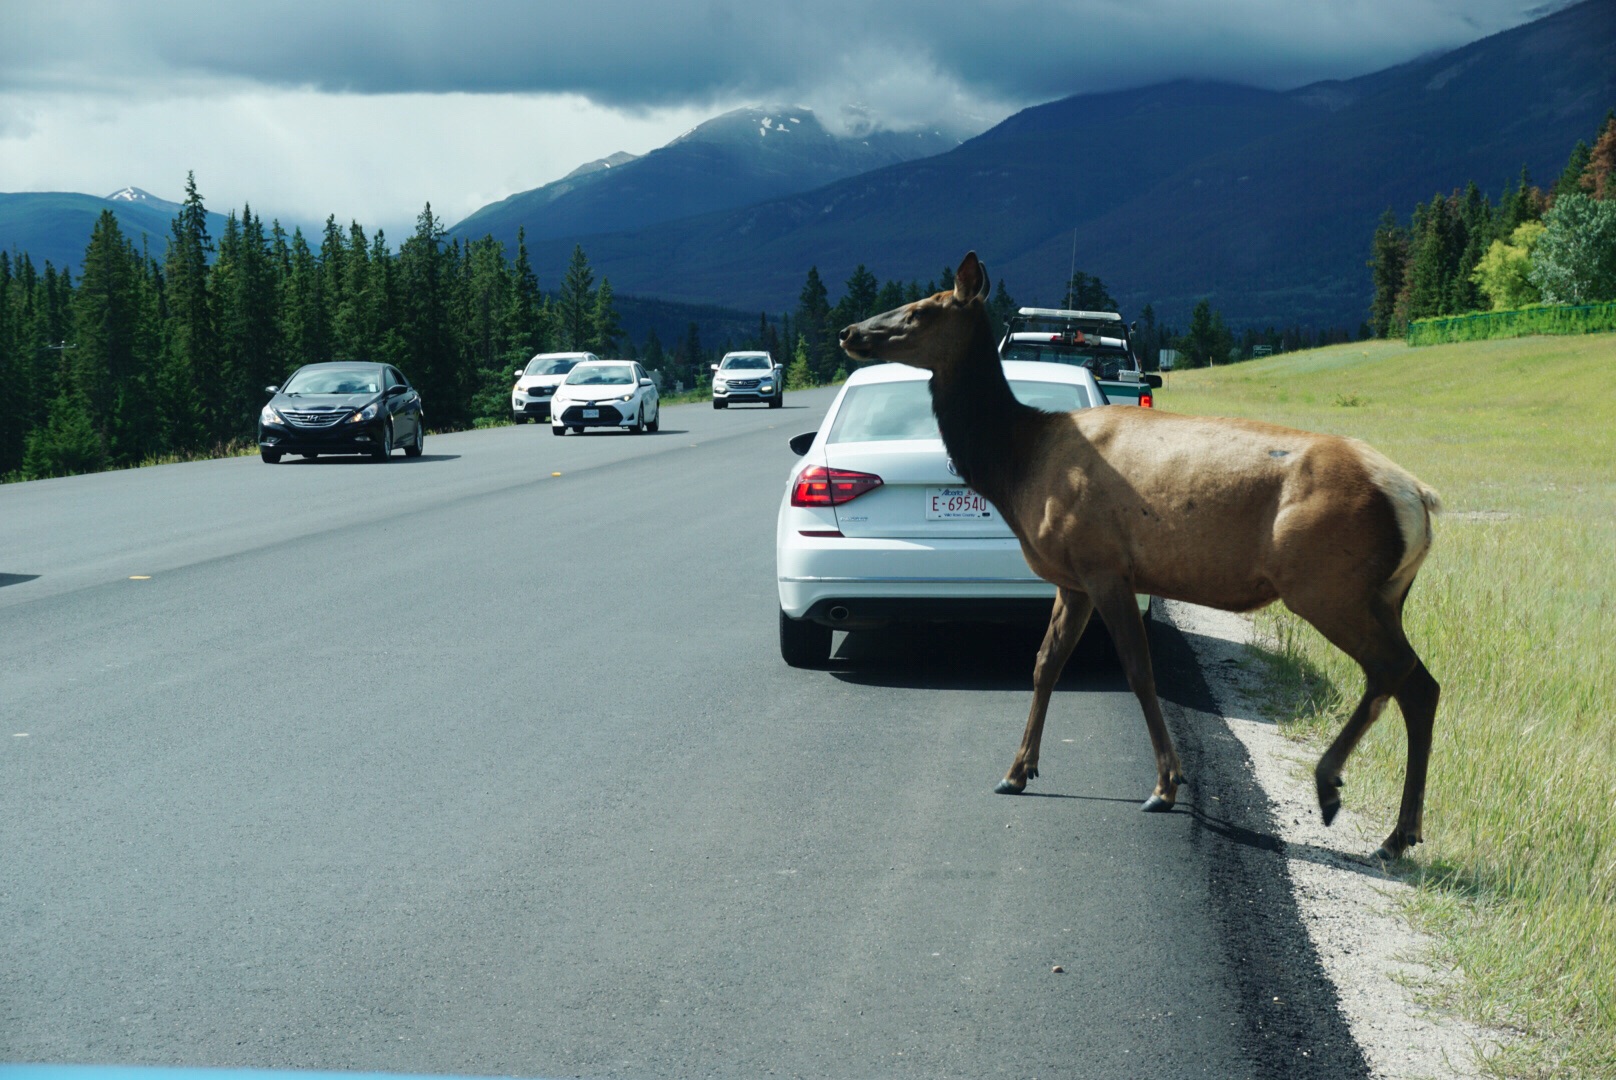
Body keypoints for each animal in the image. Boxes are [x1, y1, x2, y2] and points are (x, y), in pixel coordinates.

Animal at [840, 248, 1447, 853]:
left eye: (922, 310)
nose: (850, 332)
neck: (1018, 466)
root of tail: (1418, 498)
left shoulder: (1104, 563)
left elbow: (1138, 670)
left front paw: (1165, 785)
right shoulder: (1072, 579)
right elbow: (1045, 663)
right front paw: (1017, 771)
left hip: (1325, 582)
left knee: (1396, 670)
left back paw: (1336, 790)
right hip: (1384, 593)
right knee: (1417, 682)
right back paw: (1399, 831)